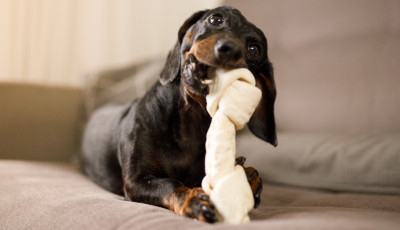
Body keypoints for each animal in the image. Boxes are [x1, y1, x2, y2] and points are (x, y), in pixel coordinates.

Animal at [81, 6, 276, 223]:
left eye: (254, 50)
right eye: (216, 19)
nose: (230, 49)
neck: (190, 121)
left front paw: (248, 177)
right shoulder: (136, 180)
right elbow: (169, 183)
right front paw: (191, 199)